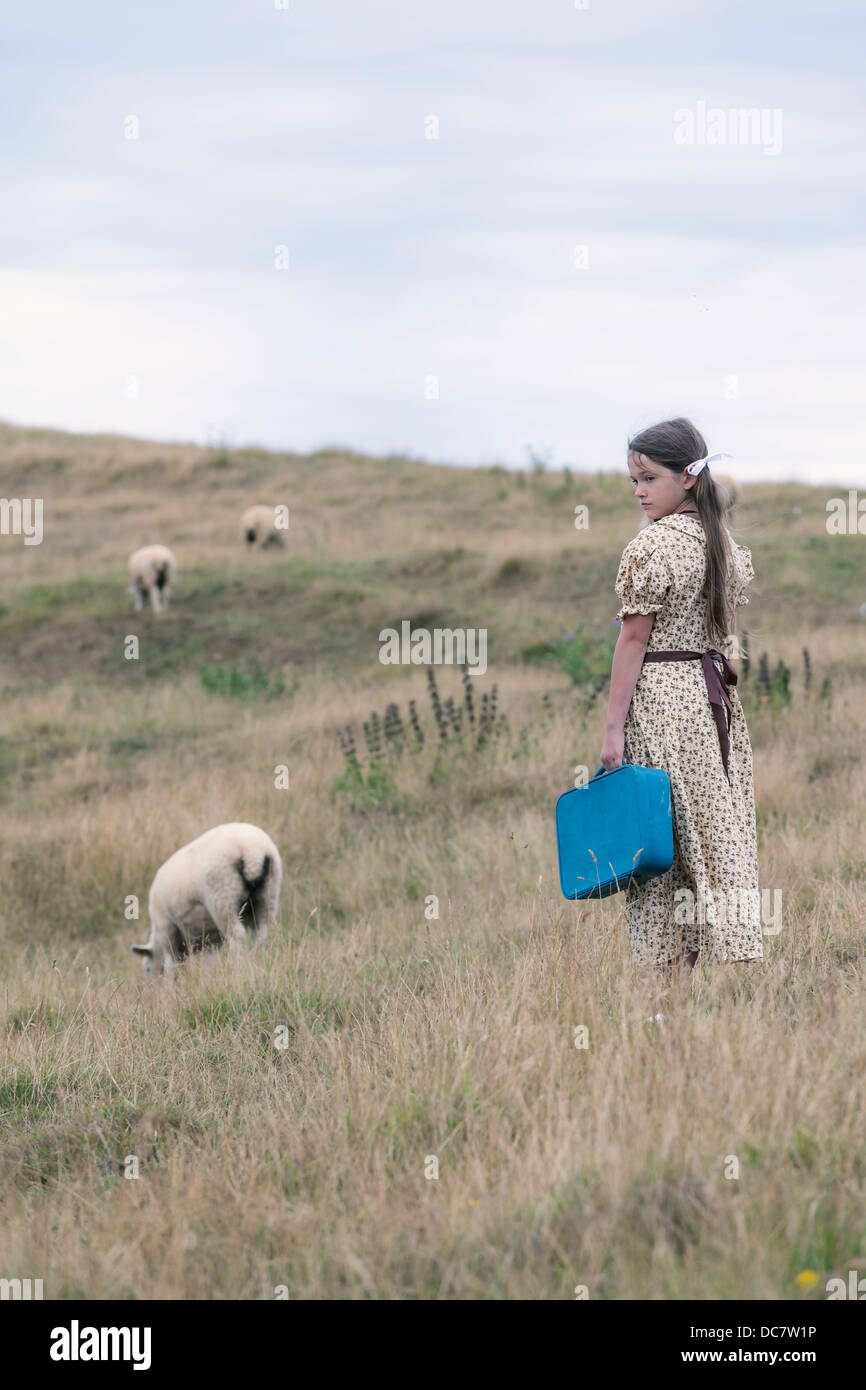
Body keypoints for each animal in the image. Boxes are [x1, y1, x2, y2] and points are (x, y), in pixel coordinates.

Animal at [131, 817, 284, 973]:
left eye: (148, 969)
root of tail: (252, 851)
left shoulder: (167, 928)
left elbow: (172, 965)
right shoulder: (212, 938)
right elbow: (209, 960)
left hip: (222, 898)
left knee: (237, 936)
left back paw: (241, 968)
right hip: (267, 896)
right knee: (261, 935)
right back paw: (258, 965)